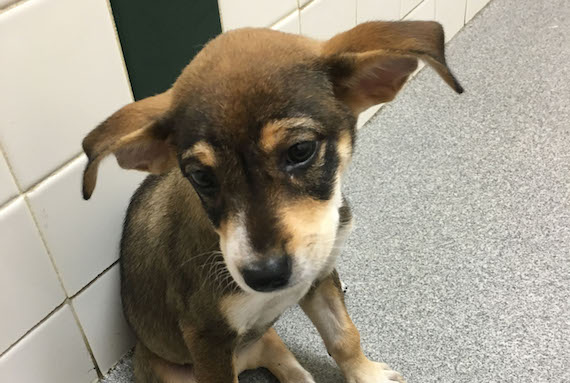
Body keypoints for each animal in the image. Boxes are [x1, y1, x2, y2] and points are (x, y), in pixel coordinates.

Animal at [81, 21, 462, 383]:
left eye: (300, 150)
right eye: (201, 177)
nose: (264, 277)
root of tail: (245, 360)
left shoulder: (320, 279)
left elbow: (343, 335)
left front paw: (365, 374)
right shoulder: (207, 335)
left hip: (266, 339)